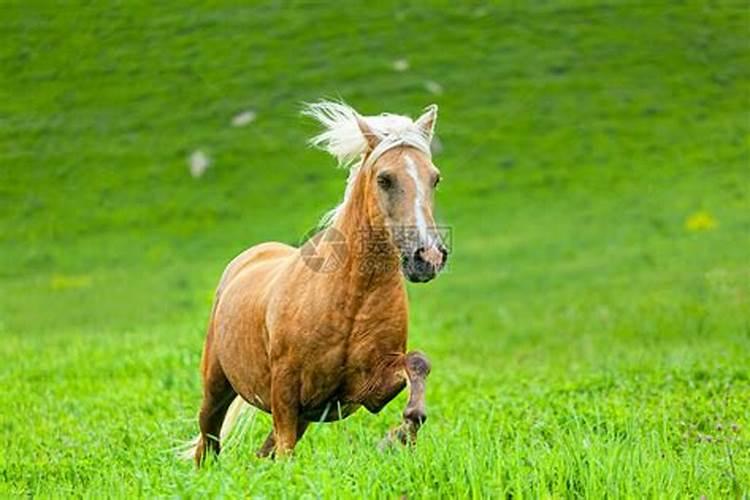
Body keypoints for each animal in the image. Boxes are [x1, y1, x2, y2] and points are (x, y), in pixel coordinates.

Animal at [185, 101, 450, 464]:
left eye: (434, 178)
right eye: (384, 178)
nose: (428, 257)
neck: (350, 297)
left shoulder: (365, 390)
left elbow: (418, 365)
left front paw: (398, 435)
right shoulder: (285, 389)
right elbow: (285, 449)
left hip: (302, 417)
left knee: (261, 452)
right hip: (216, 387)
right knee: (207, 442)